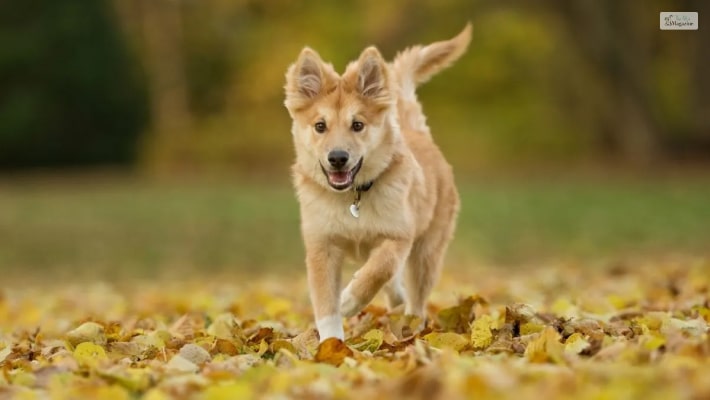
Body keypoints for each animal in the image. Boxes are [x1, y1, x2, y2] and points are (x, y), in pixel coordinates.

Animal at [284, 23, 472, 340]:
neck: (351, 199)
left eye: (357, 125)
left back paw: (412, 325)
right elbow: (325, 303)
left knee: (415, 296)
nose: (338, 158)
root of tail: (418, 132)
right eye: (320, 126)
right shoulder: (322, 246)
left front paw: (349, 300)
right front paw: (331, 343)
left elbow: (380, 269)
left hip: (427, 251)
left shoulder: (399, 235)